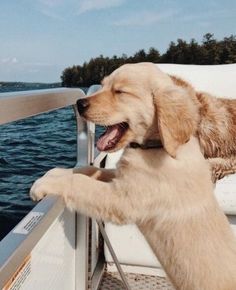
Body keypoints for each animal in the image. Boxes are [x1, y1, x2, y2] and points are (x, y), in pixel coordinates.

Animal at [30, 63, 236, 290]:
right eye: (103, 86)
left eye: (120, 92)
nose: (79, 103)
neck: (156, 147)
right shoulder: (122, 177)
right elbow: (88, 171)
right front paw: (57, 172)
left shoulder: (124, 198)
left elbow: (81, 183)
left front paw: (44, 184)